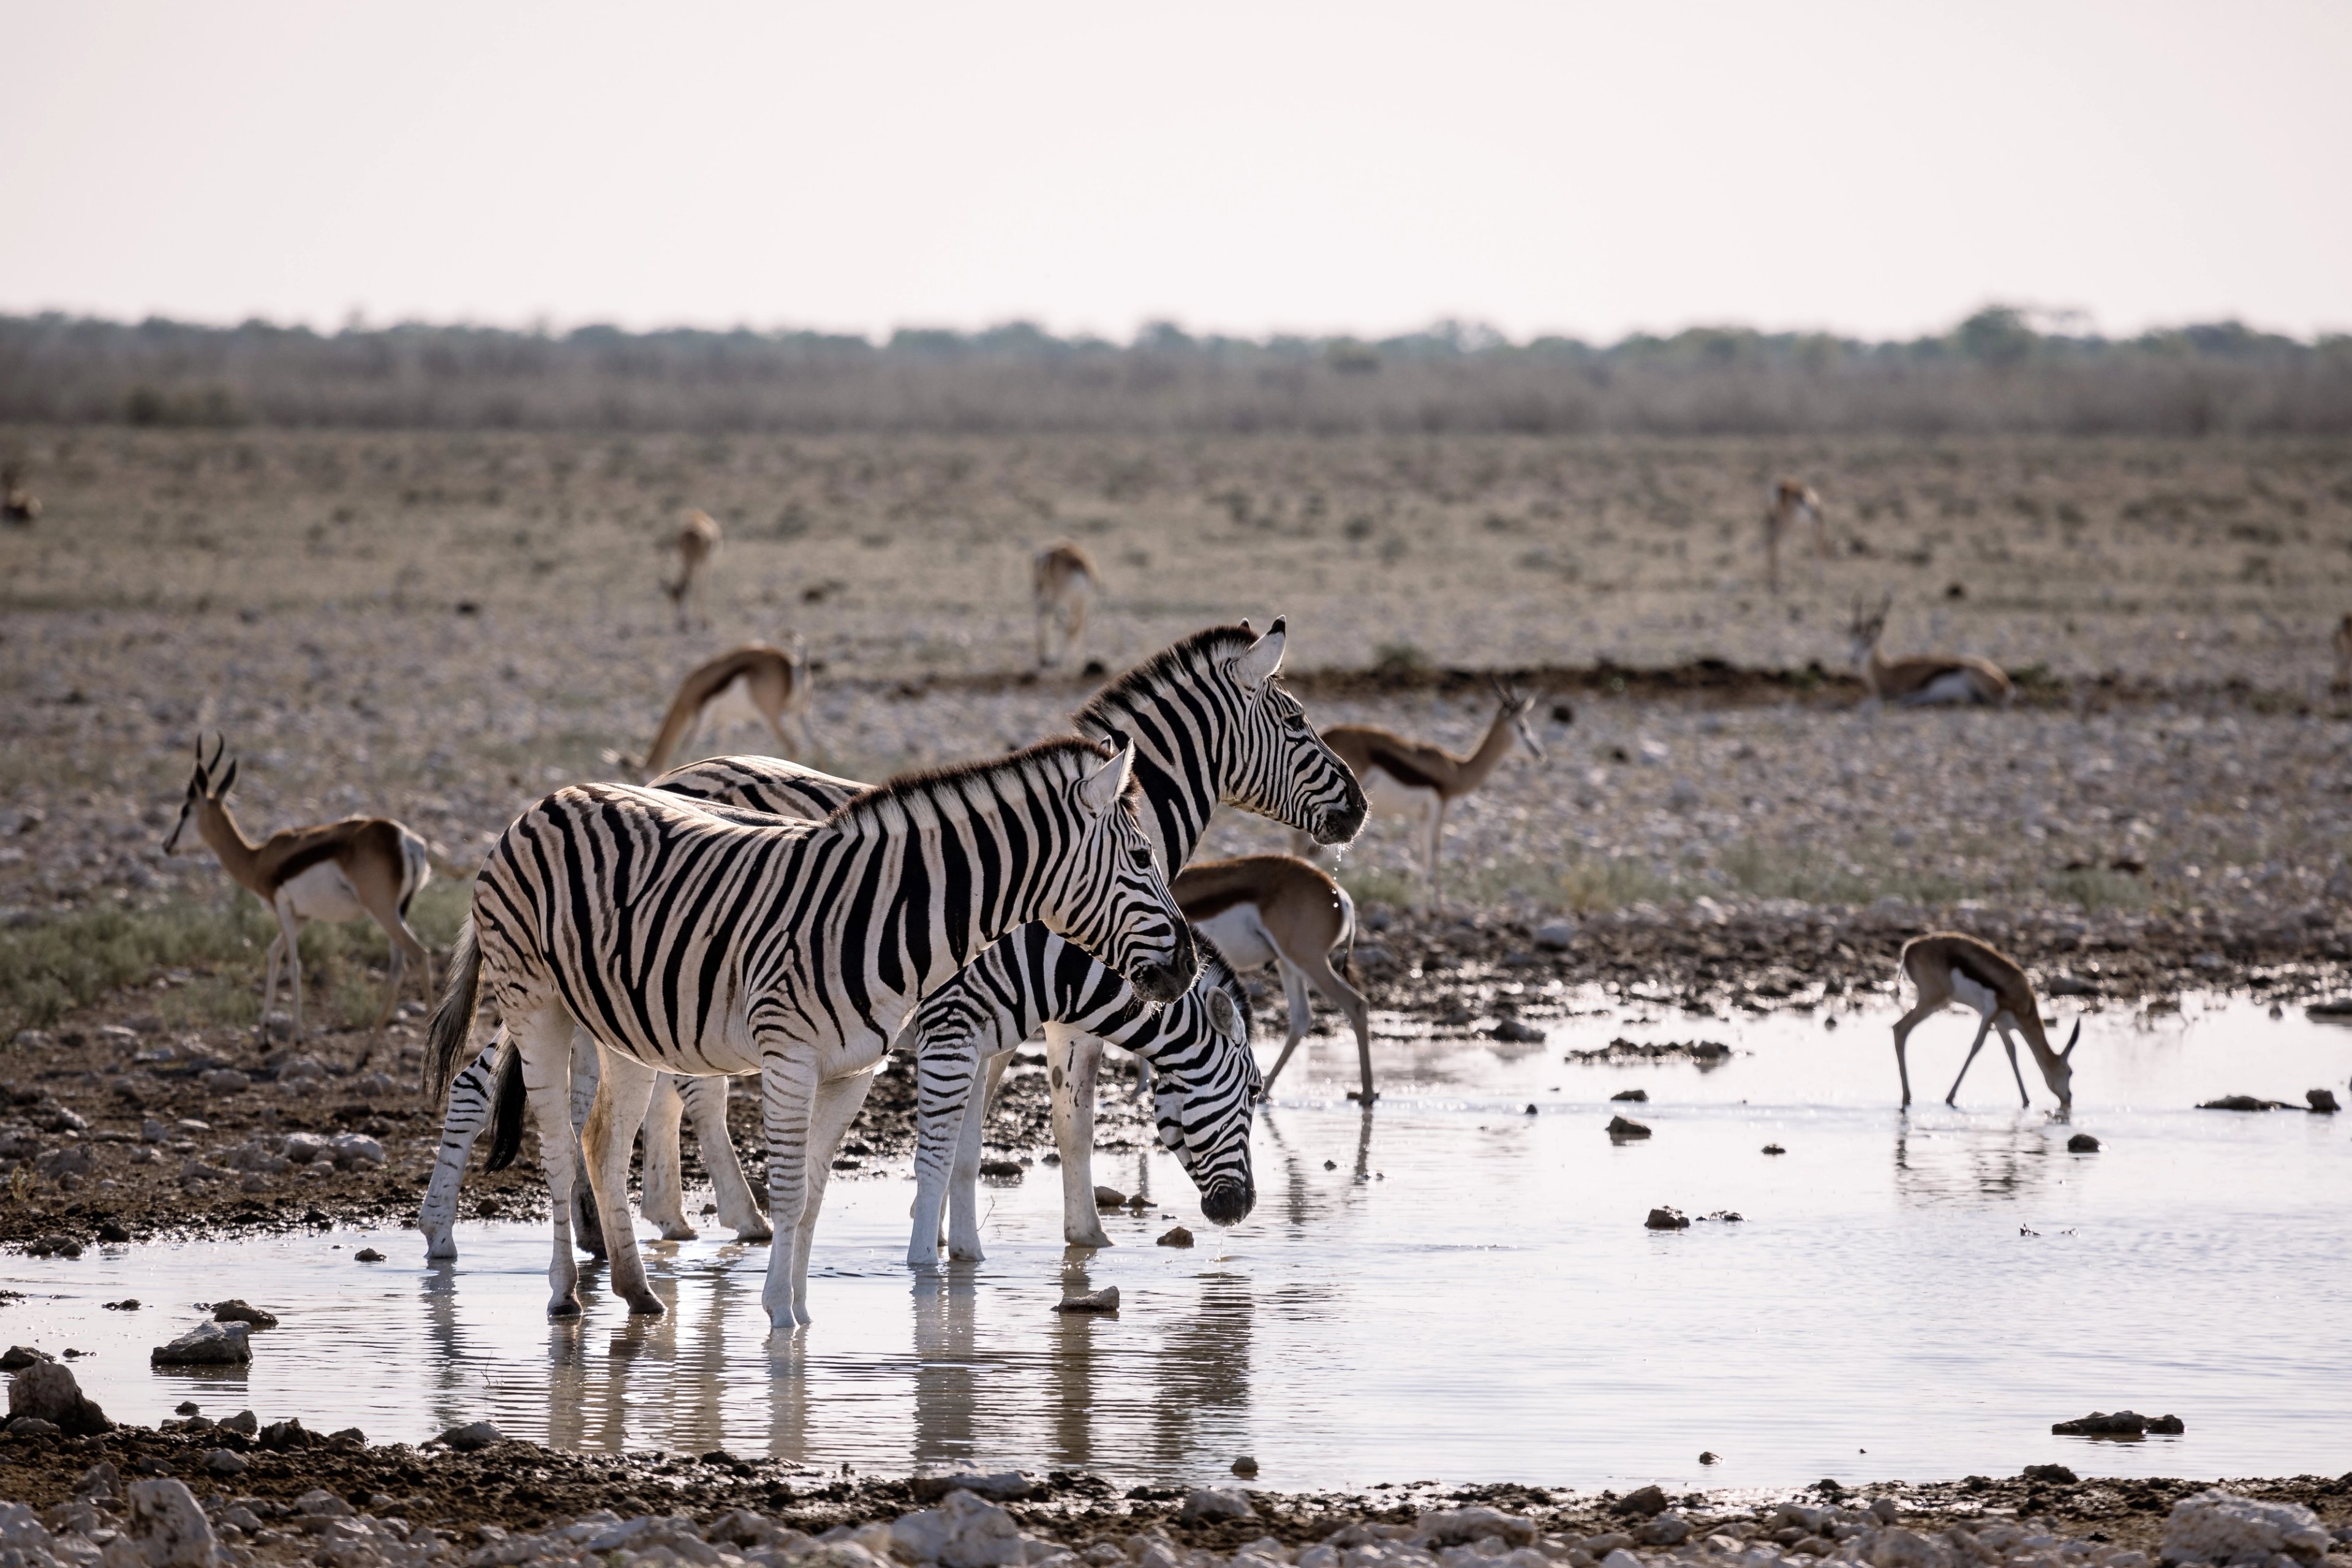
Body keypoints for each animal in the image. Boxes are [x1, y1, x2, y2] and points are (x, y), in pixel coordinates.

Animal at [425, 734, 1196, 1329]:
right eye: (1141, 860)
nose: (1188, 967)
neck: (889, 914)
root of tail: (544, 800)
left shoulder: (853, 1070)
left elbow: (817, 1193)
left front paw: (799, 1313)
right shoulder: (788, 1056)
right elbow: (791, 1191)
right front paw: (778, 1317)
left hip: (623, 1026)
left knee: (603, 1144)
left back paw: (638, 1292)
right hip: (534, 999)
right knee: (559, 1145)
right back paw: (564, 1296)